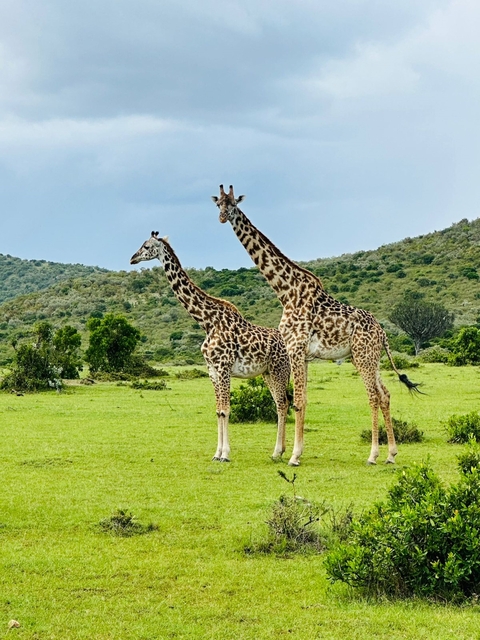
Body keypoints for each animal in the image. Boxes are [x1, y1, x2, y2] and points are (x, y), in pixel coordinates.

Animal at [130, 232, 291, 462]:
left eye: (146, 246)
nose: (132, 258)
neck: (207, 322)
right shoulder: (212, 370)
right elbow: (218, 410)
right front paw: (217, 453)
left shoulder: (223, 367)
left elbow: (226, 409)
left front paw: (225, 454)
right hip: (267, 372)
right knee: (280, 403)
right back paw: (279, 451)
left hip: (280, 369)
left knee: (283, 403)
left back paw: (278, 452)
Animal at [212, 185, 421, 466]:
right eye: (218, 204)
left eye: (233, 204)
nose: (223, 217)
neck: (285, 291)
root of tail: (383, 332)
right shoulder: (304, 354)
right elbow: (303, 400)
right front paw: (293, 451)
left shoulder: (296, 348)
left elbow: (298, 401)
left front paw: (294, 456)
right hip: (371, 357)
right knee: (385, 394)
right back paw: (391, 454)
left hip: (363, 357)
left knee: (374, 396)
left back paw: (373, 455)